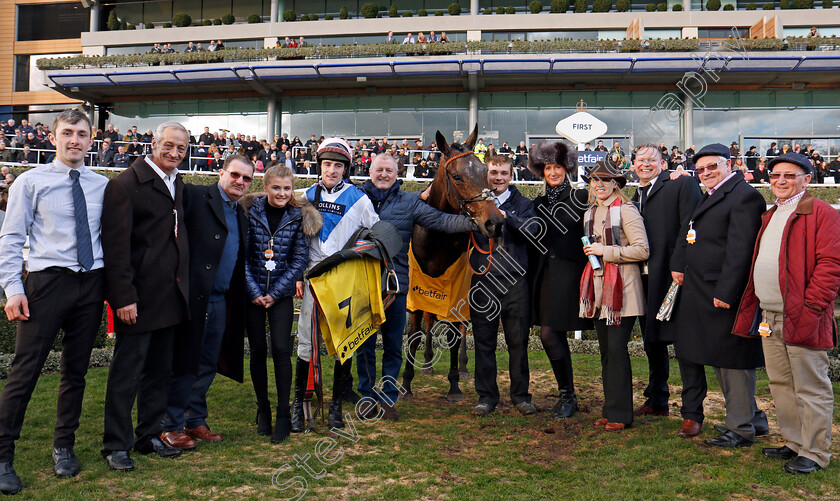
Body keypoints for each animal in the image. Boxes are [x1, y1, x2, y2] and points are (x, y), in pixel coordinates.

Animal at [400, 126, 506, 402]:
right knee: (429, 321)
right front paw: (406, 386)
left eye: (485, 172)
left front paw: (455, 384)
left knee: (463, 326)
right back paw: (427, 363)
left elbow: (454, 334)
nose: (494, 223)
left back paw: (465, 367)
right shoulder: (417, 290)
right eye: (457, 177)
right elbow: (414, 334)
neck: (436, 237)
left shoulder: (457, 288)